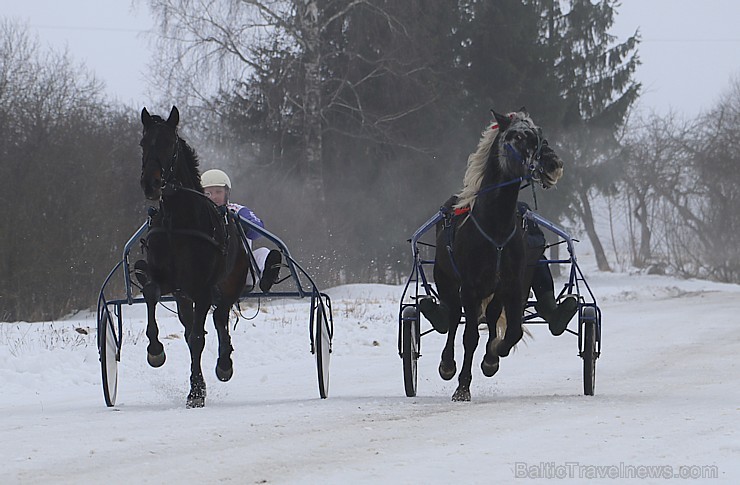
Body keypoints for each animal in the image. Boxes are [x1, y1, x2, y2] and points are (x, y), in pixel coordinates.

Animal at [134, 107, 247, 408]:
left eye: (169, 143)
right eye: (143, 143)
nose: (150, 184)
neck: (177, 222)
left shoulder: (203, 287)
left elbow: (198, 338)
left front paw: (196, 392)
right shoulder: (170, 282)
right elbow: (150, 292)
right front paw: (155, 351)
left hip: (231, 282)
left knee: (220, 318)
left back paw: (224, 365)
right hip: (184, 296)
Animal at [424, 109, 564, 400]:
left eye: (539, 133)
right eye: (517, 136)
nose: (553, 164)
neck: (495, 228)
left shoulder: (511, 285)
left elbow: (513, 331)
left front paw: (494, 355)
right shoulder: (470, 288)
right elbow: (469, 337)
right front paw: (462, 387)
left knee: (489, 317)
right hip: (446, 281)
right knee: (452, 318)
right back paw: (447, 364)